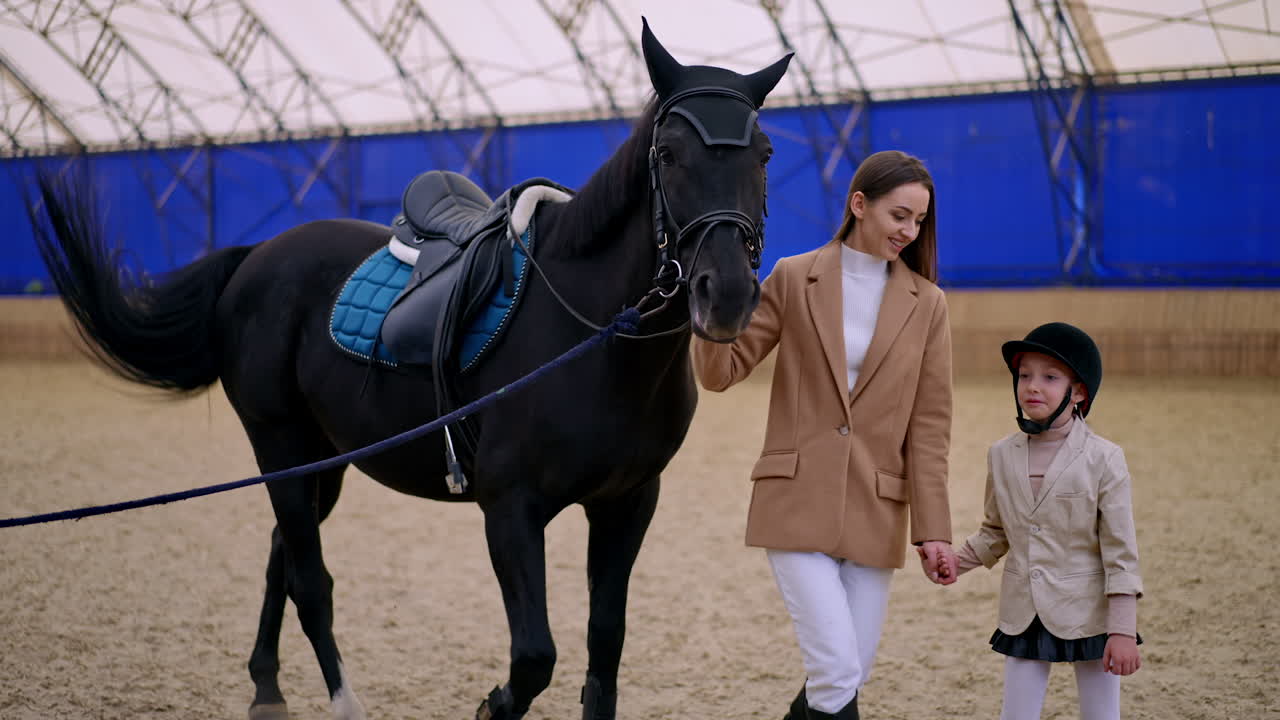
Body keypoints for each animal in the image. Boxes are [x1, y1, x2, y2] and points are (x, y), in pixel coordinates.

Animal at [29, 19, 791, 720]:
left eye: (764, 154)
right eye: (668, 153)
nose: (725, 294)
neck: (593, 341)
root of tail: (256, 256)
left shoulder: (628, 502)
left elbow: (605, 646)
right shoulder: (509, 507)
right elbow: (534, 656)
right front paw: (490, 705)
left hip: (322, 458)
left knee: (283, 555)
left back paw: (267, 688)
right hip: (278, 443)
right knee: (311, 580)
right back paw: (342, 703)